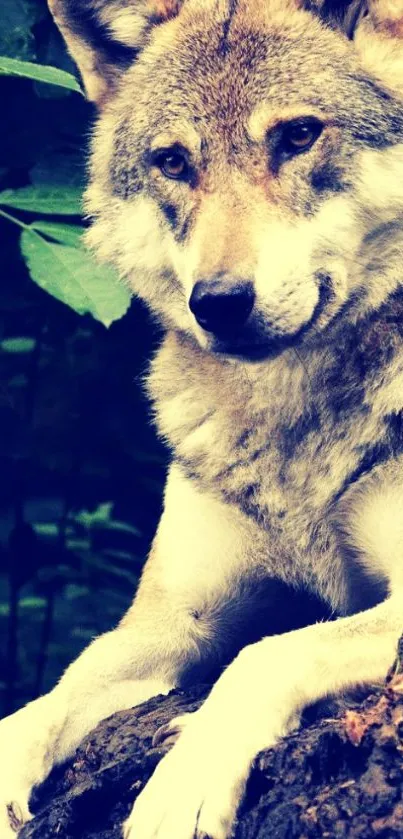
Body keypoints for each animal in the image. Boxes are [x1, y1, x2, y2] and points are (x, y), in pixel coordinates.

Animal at [0, 0, 403, 836]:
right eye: (174, 162)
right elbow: (55, 689)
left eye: (297, 135)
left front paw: (180, 785)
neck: (289, 423)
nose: (217, 302)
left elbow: (268, 652)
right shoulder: (173, 619)